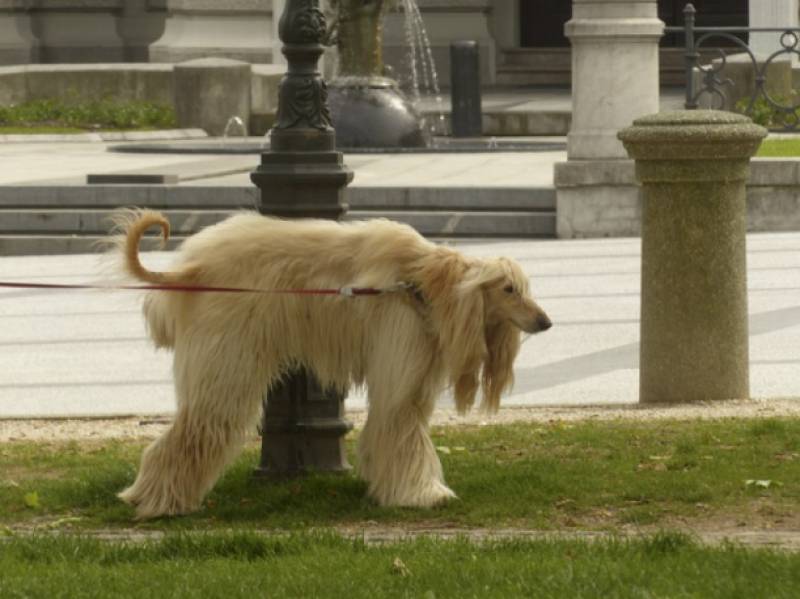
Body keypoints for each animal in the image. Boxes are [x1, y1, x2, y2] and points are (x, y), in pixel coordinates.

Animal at [112, 211, 552, 520]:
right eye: (508, 289)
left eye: (524, 290)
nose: (546, 322)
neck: (426, 284)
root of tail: (191, 269)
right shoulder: (401, 351)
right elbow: (402, 423)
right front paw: (422, 493)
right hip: (227, 358)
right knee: (202, 424)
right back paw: (161, 500)